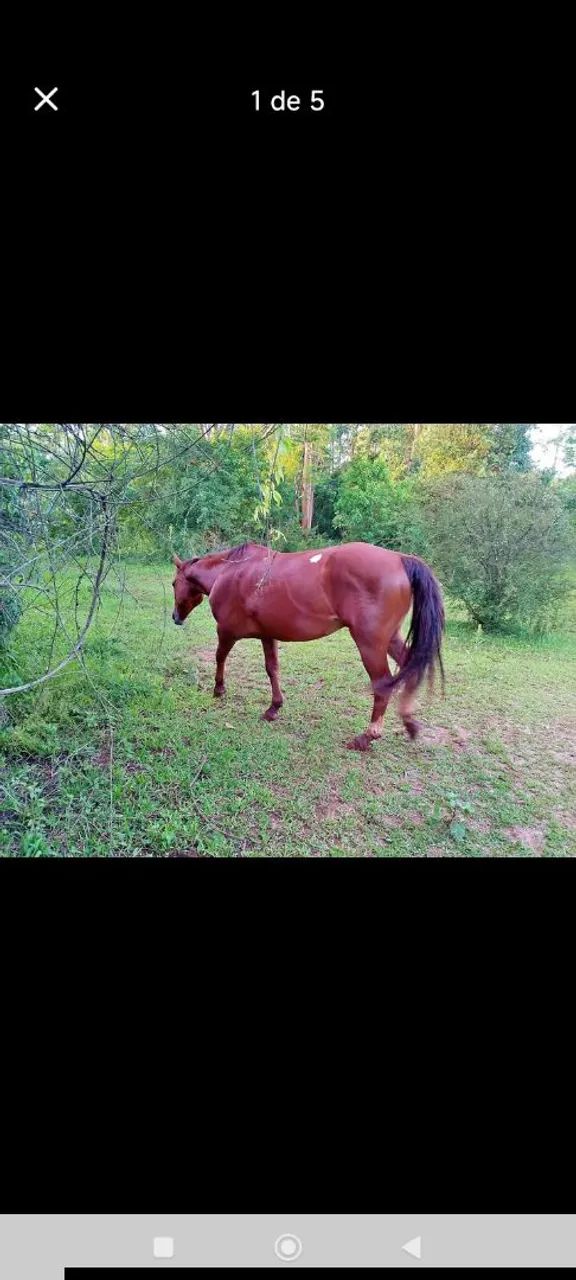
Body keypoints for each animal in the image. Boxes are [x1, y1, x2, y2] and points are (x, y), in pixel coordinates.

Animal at [171, 541, 445, 751]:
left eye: (174, 584)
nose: (175, 617)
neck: (230, 571)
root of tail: (400, 559)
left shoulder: (226, 631)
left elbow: (219, 657)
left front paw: (219, 689)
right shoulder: (268, 635)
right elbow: (272, 669)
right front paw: (273, 708)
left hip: (370, 644)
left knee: (383, 684)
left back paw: (367, 737)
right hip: (390, 639)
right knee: (409, 665)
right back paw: (409, 722)